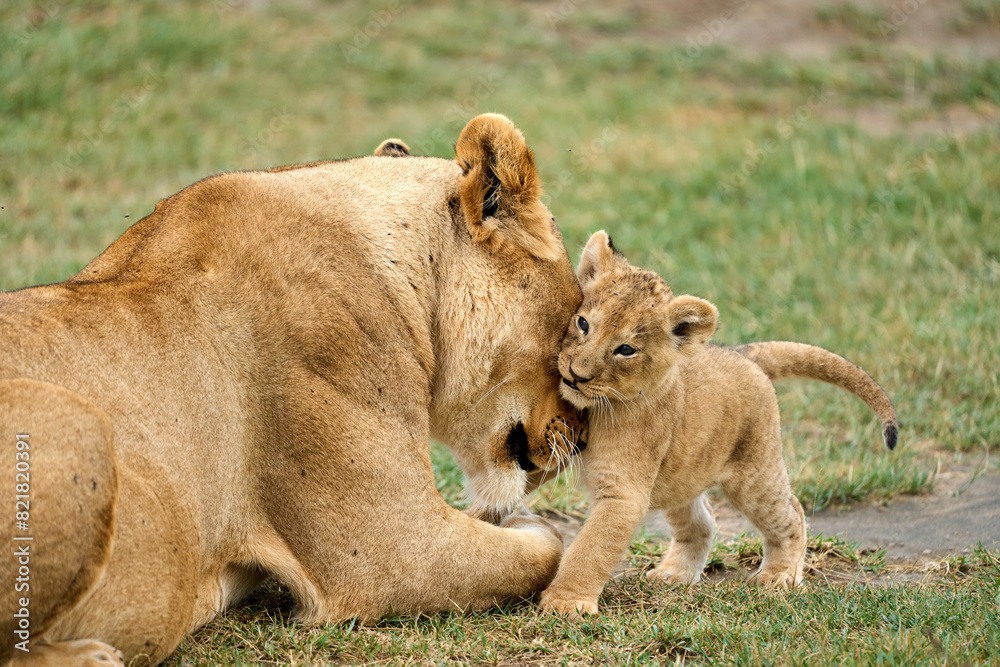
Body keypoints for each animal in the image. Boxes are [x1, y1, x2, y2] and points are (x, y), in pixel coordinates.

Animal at [0, 114, 586, 666]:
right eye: (578, 320)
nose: (582, 438)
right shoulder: (393, 551)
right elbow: (541, 552)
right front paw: (534, 526)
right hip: (77, 419)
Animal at [537, 231, 898, 617]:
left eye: (626, 350)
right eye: (583, 323)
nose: (576, 375)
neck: (595, 408)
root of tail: (742, 352)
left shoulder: (624, 491)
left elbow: (592, 548)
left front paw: (566, 602)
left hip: (754, 475)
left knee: (792, 513)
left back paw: (780, 575)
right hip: (682, 474)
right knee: (702, 523)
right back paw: (674, 575)